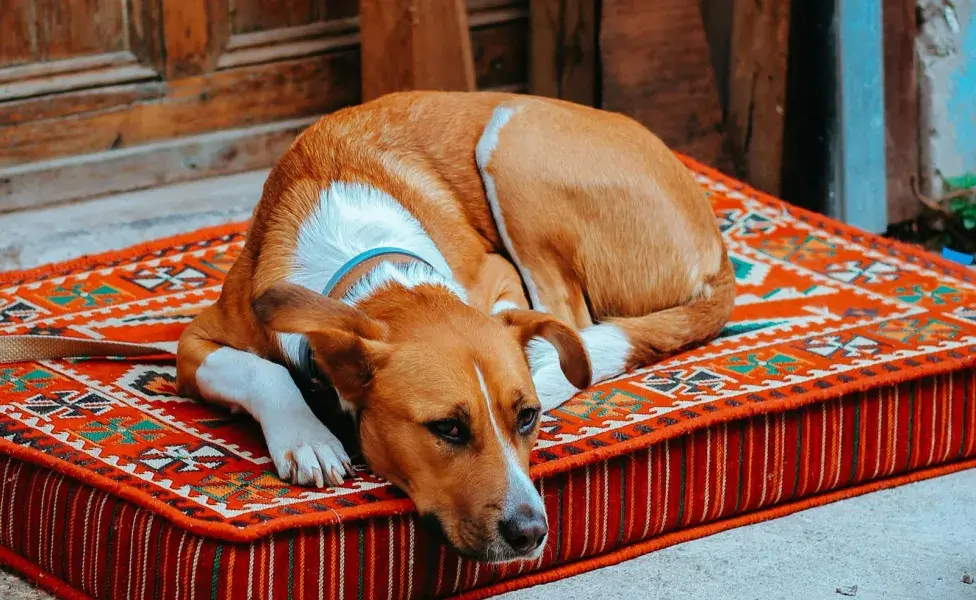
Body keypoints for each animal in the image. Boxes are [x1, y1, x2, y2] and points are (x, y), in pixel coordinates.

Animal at [179, 90, 736, 564]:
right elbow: (264, 371)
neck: (366, 261)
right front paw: (307, 438)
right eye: (447, 428)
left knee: (569, 320)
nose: (532, 532)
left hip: (513, 143)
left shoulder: (497, 272)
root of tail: (719, 253)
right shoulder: (192, 345)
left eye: (527, 418)